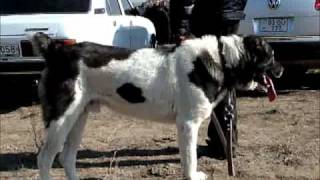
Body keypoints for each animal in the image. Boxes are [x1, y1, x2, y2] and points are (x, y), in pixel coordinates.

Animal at [32, 32, 282, 180]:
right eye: (271, 56)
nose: (282, 69)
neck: (221, 58)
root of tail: (57, 49)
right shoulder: (188, 124)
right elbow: (190, 160)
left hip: (78, 118)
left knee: (66, 157)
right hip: (61, 119)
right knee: (44, 159)